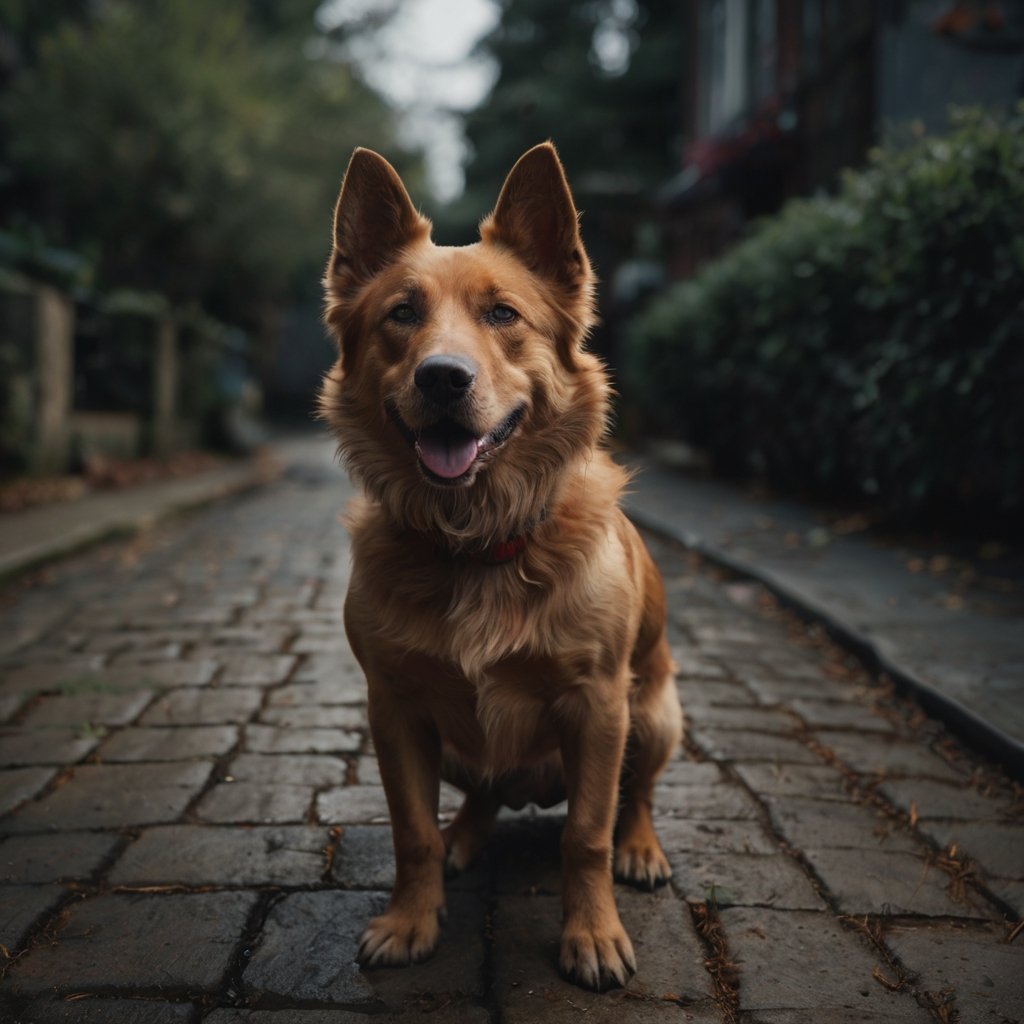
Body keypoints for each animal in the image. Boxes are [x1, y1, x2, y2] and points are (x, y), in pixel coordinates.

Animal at [321, 140, 679, 987]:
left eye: (503, 315)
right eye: (402, 314)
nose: (443, 377)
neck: (477, 543)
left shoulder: (599, 707)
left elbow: (584, 836)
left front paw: (592, 934)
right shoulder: (394, 709)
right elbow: (410, 831)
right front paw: (412, 920)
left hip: (655, 716)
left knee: (636, 796)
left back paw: (640, 849)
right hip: (460, 751)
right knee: (480, 796)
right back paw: (466, 835)